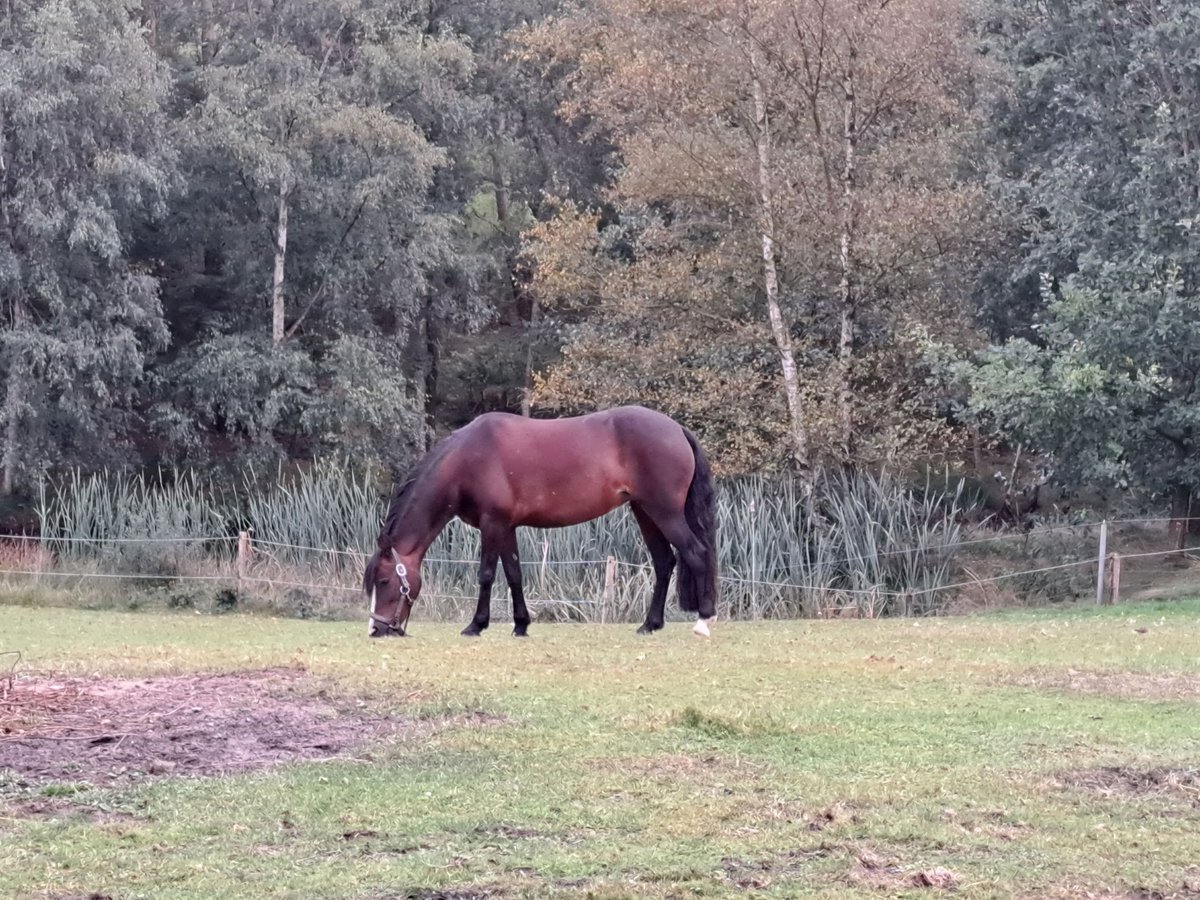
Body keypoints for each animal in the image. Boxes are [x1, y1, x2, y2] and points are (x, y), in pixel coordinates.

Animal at [364, 408, 715, 643]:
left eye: (384, 581)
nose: (376, 629)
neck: (468, 459)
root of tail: (676, 429)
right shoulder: (506, 527)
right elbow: (514, 574)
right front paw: (521, 625)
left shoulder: (492, 524)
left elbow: (487, 575)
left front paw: (476, 625)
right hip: (645, 511)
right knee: (664, 562)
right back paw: (650, 624)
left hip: (665, 512)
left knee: (696, 553)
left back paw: (703, 621)